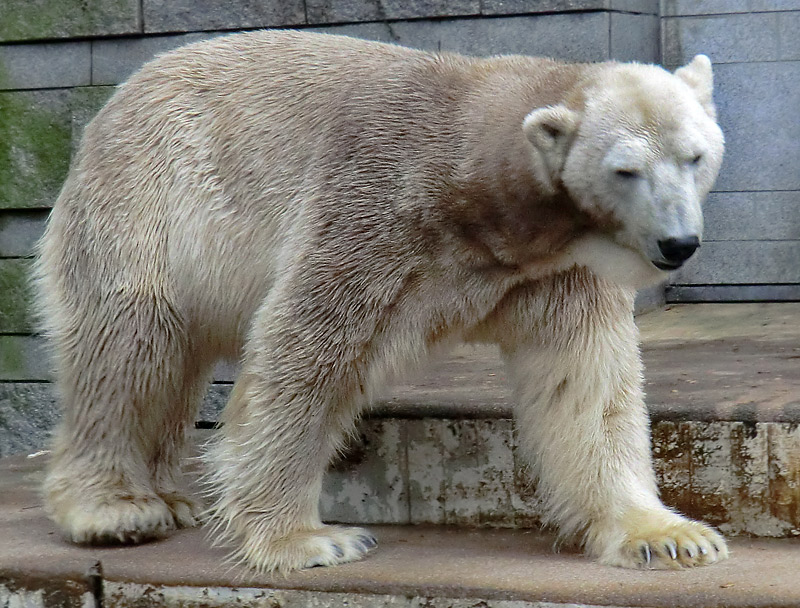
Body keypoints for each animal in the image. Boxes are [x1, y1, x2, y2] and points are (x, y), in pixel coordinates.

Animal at [36, 30, 724, 572]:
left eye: (695, 155)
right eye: (625, 170)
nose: (678, 243)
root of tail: (112, 104)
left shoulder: (555, 271)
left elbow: (585, 380)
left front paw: (667, 535)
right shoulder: (377, 209)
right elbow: (306, 348)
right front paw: (306, 539)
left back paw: (169, 498)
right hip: (145, 201)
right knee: (132, 345)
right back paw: (116, 510)